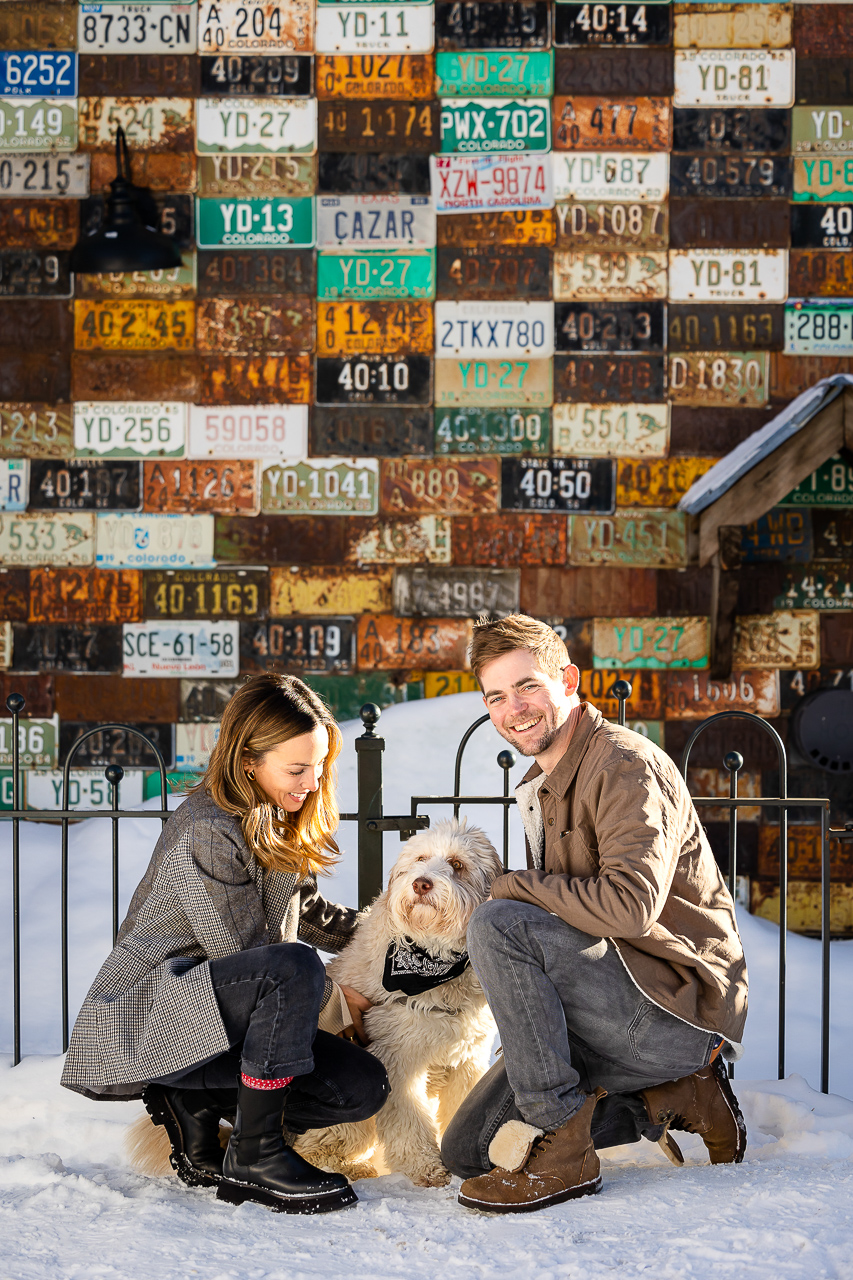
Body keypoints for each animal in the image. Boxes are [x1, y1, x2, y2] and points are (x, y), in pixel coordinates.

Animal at [295, 819, 502, 1187]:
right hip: (349, 1118)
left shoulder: (467, 1059)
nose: (421, 883)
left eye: (457, 864)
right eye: (421, 858)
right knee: (313, 1149)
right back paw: (353, 1167)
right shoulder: (398, 1059)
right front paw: (427, 1167)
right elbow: (409, 1120)